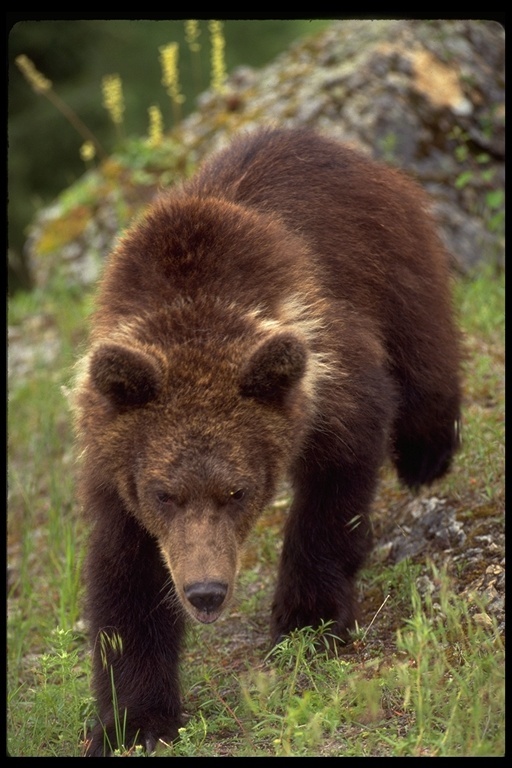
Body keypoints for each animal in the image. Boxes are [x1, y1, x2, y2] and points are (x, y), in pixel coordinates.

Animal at [72, 127, 460, 756]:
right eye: (164, 494)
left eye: (237, 491)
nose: (206, 592)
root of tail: (324, 141)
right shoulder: (115, 460)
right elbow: (125, 575)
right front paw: (135, 720)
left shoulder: (325, 368)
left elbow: (335, 491)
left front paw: (306, 621)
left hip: (393, 260)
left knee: (426, 360)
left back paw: (427, 454)